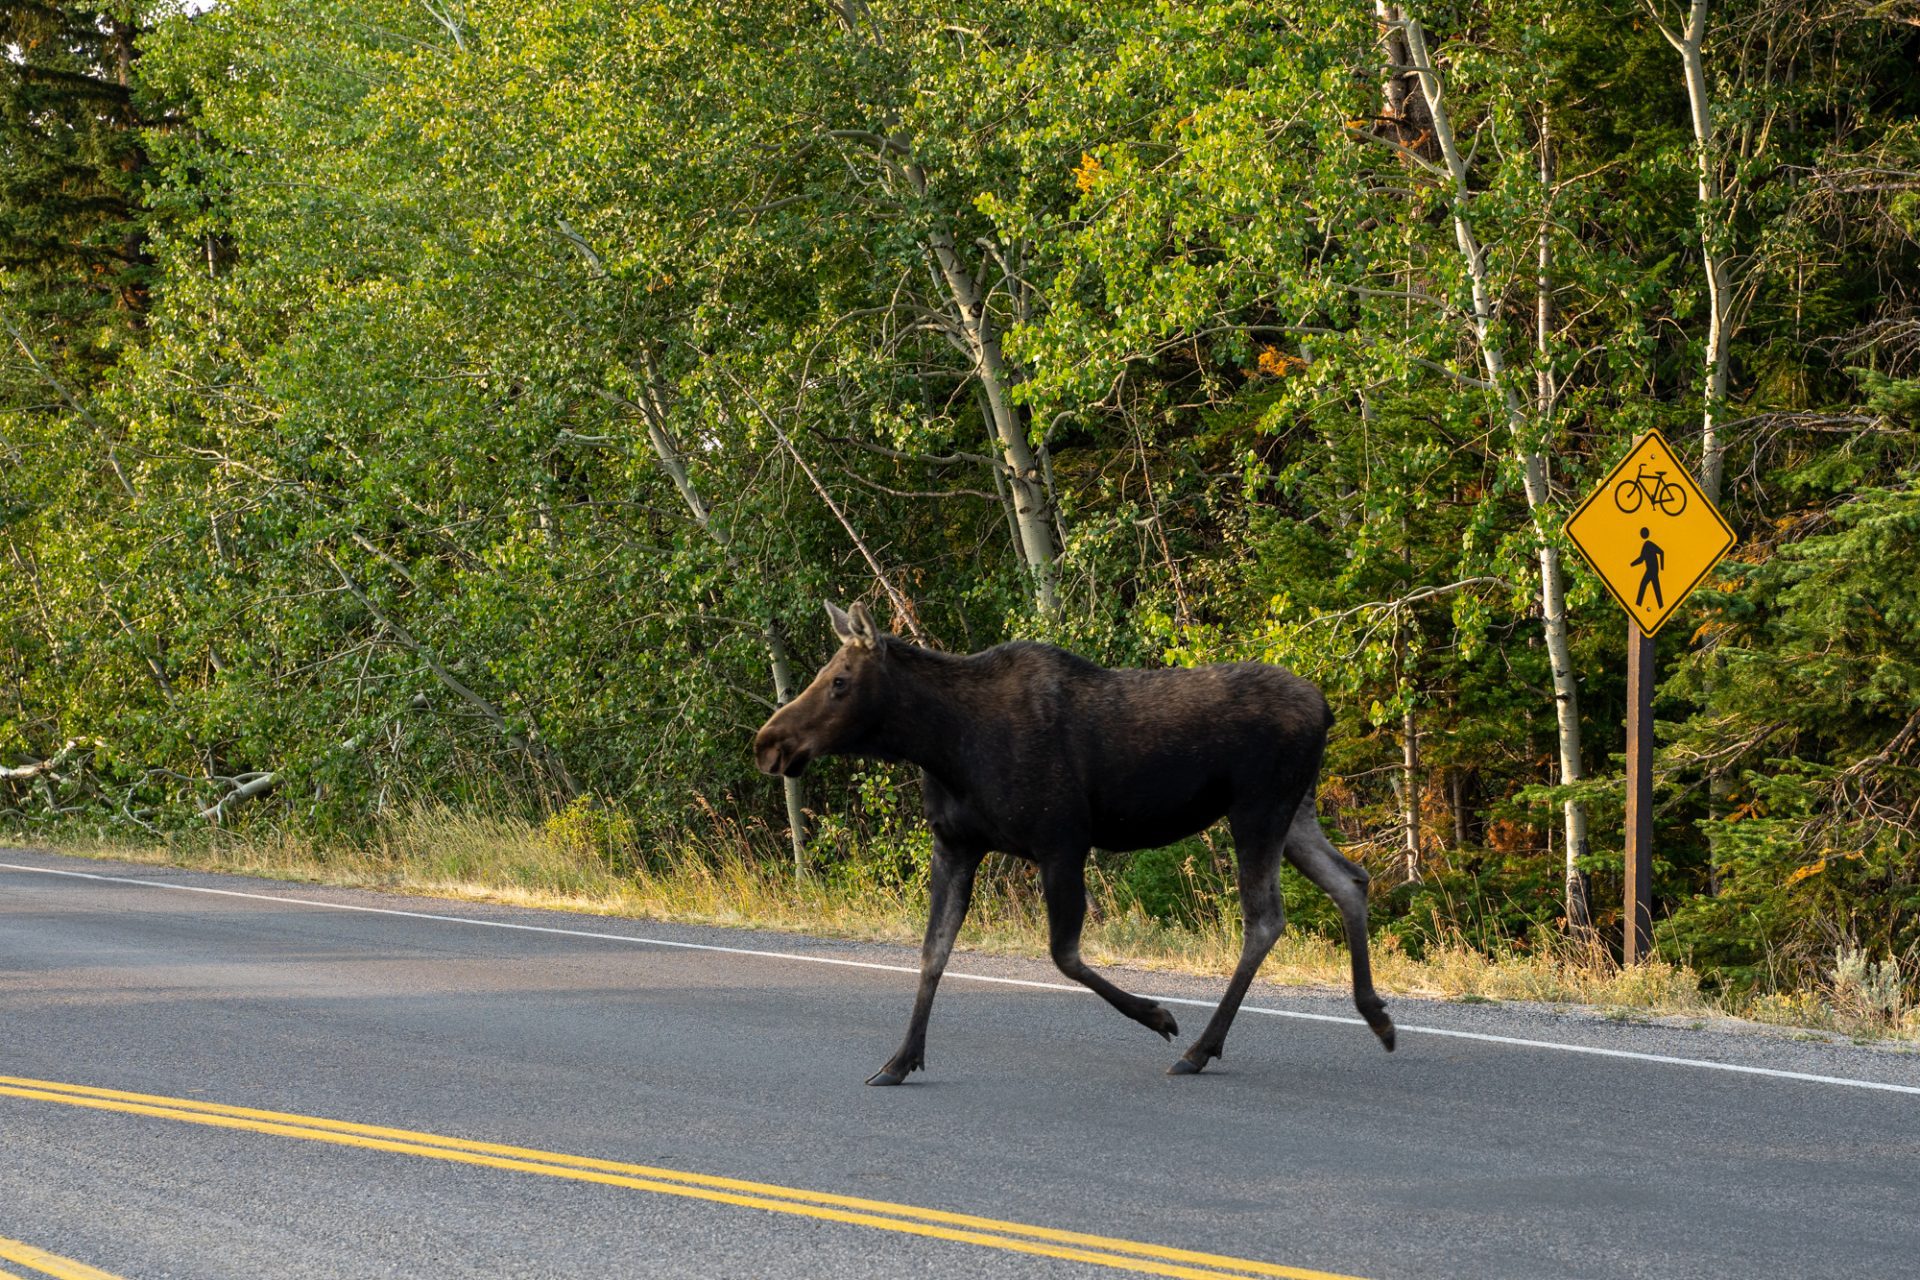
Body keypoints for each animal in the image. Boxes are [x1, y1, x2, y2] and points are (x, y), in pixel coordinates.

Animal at [748, 602, 1397, 1082]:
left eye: (838, 681)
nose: (768, 744)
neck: (941, 746)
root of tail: (1327, 708)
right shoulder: (956, 845)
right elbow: (933, 953)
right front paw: (901, 1060)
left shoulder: (1062, 840)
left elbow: (1063, 953)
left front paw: (1159, 1015)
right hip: (1295, 811)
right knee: (1351, 880)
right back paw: (1377, 1016)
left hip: (1258, 807)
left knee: (1265, 918)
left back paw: (1200, 1048)